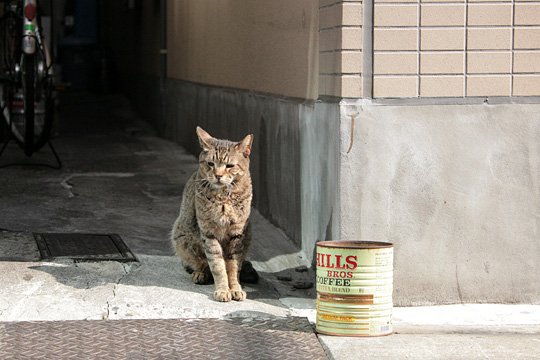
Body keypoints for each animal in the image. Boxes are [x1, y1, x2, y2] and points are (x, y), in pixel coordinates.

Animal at [173, 126, 258, 300]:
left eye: (230, 166)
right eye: (210, 164)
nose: (218, 175)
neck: (223, 197)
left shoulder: (237, 233)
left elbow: (233, 267)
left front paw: (235, 288)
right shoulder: (209, 232)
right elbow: (217, 266)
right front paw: (223, 289)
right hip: (182, 237)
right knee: (200, 263)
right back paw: (200, 274)